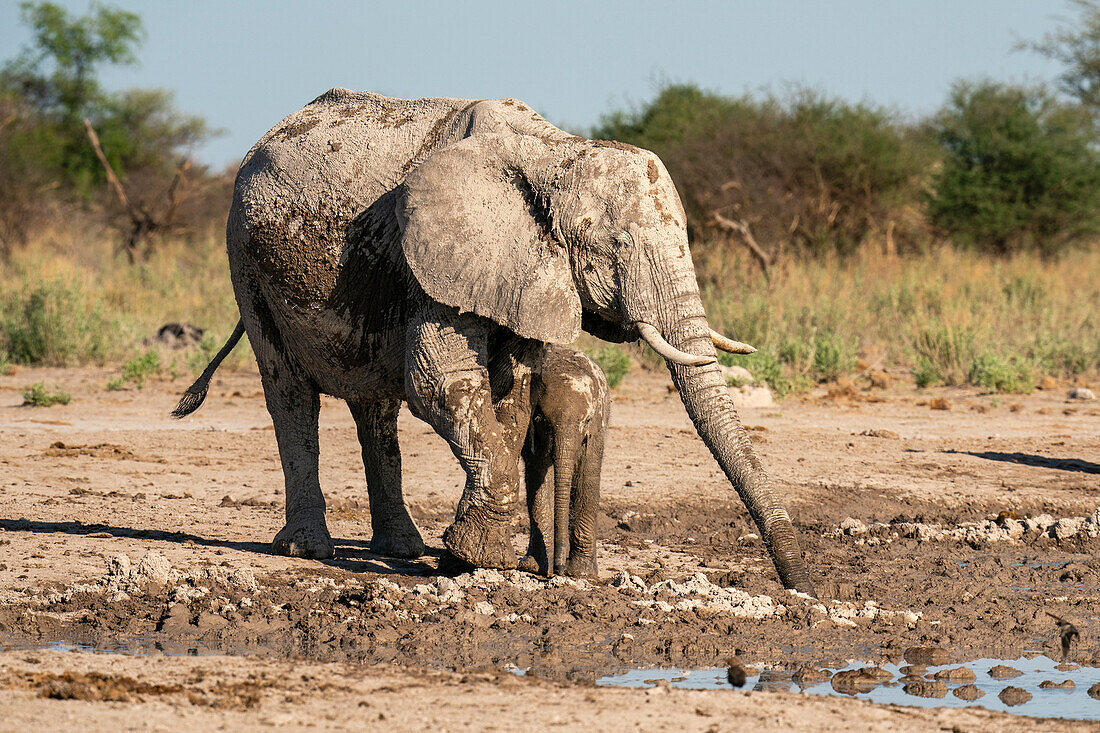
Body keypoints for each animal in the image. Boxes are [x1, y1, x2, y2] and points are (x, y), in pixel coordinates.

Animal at [514, 343, 611, 576]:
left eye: (587, 420)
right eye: (541, 419)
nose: (559, 570)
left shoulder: (597, 428)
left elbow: (587, 475)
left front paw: (581, 573)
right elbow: (539, 475)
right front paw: (535, 566)